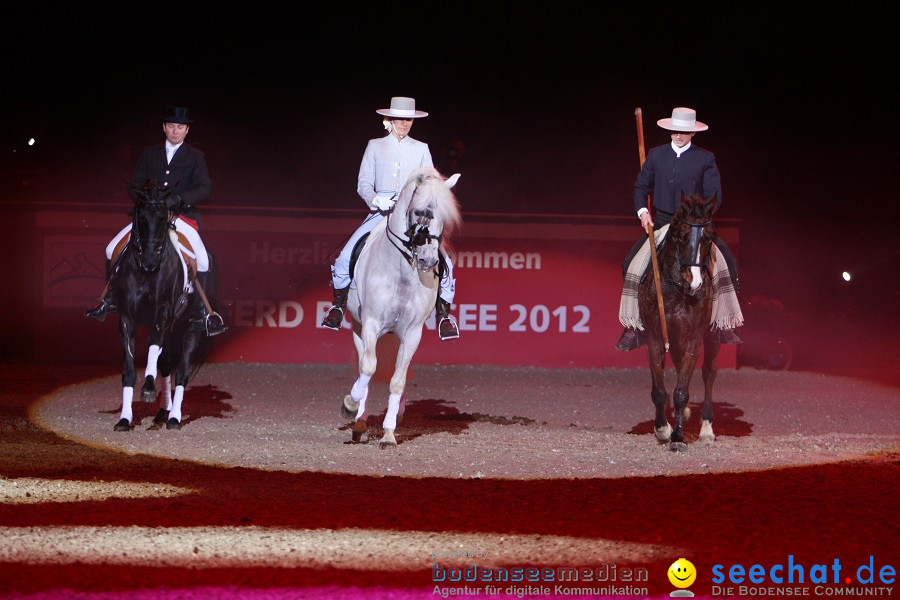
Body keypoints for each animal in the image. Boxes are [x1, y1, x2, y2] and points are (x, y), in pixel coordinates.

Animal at [111, 183, 215, 432]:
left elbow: (153, 343)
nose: (150, 261)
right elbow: (129, 367)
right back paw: (162, 413)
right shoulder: (127, 316)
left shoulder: (163, 312)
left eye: (162, 218)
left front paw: (148, 388)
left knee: (182, 371)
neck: (146, 273)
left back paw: (174, 417)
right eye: (140, 217)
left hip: (192, 325)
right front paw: (125, 419)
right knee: (167, 364)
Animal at [340, 166, 460, 448]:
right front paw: (351, 406)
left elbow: (397, 380)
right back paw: (359, 422)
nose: (428, 261)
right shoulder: (371, 324)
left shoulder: (413, 333)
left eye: (443, 217)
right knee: (364, 368)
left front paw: (388, 433)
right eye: (417, 212)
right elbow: (368, 368)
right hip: (358, 328)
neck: (402, 273)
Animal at [640, 192, 724, 450]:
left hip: (712, 337)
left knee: (709, 373)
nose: (694, 282)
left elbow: (681, 391)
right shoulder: (655, 337)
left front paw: (677, 436)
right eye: (682, 235)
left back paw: (706, 428)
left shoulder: (694, 338)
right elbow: (659, 390)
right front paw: (662, 429)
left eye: (709, 236)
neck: (676, 290)